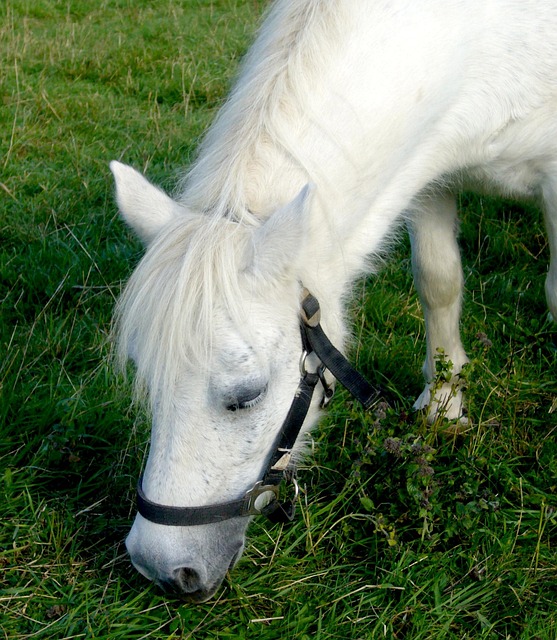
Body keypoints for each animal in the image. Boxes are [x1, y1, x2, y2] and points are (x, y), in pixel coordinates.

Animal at [111, 0, 557, 601]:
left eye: (246, 397)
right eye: (148, 379)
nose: (160, 567)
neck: (486, 38)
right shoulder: (428, 166)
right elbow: (438, 280)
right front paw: (444, 405)